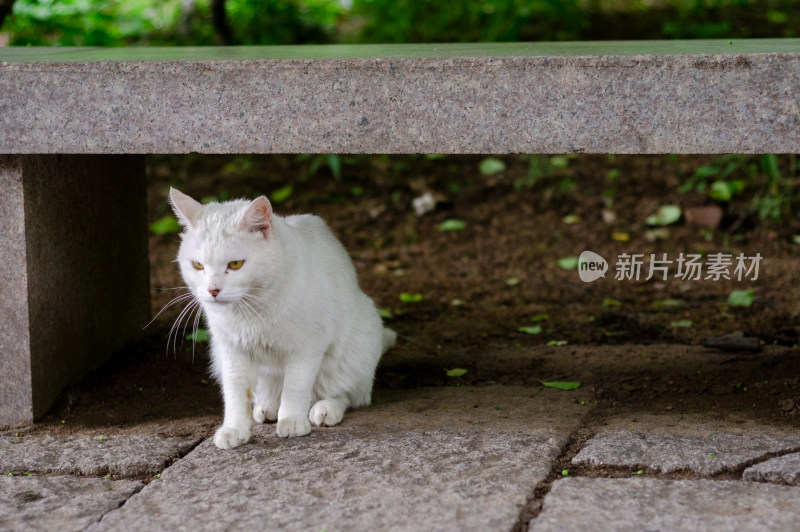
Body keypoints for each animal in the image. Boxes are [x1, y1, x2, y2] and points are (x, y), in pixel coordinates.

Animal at [170, 188, 396, 448]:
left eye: (235, 264)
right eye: (198, 265)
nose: (213, 290)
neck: (251, 308)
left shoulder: (308, 346)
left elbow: (296, 386)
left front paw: (292, 420)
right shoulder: (230, 349)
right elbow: (235, 391)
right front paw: (234, 428)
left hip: (356, 349)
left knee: (348, 393)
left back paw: (325, 409)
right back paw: (267, 407)